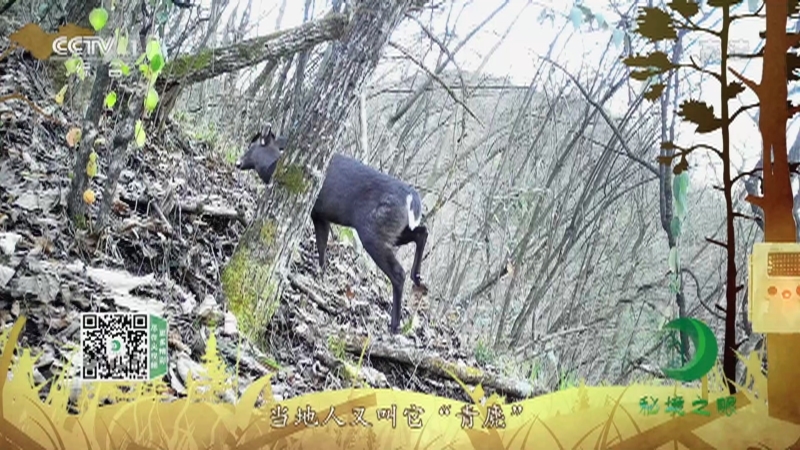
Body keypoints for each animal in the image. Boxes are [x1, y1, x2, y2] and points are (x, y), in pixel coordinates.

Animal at [235, 124, 428, 335]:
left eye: (251, 146)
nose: (238, 162)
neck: (273, 165)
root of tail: (413, 199)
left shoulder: (316, 211)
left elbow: (321, 241)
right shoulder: (323, 215)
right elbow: (323, 244)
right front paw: (321, 272)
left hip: (374, 230)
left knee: (398, 273)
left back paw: (395, 324)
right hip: (393, 229)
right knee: (422, 231)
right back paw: (417, 278)